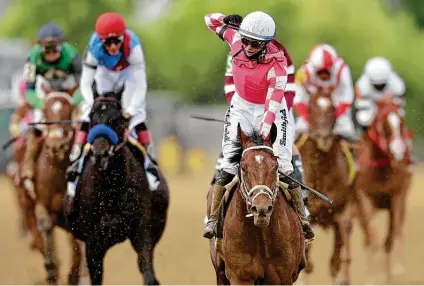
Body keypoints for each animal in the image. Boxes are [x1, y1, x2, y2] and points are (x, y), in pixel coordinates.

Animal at [65, 95, 168, 284]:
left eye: (116, 120)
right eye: (92, 119)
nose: (100, 154)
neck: (111, 187)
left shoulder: (142, 230)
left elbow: (148, 273)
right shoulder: (93, 243)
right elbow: (95, 276)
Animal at [206, 124, 304, 284]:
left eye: (276, 166)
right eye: (243, 167)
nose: (261, 208)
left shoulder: (283, 277)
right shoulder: (241, 277)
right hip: (220, 273)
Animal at [294, 91, 358, 284]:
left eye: (333, 109)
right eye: (312, 107)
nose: (323, 136)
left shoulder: (343, 209)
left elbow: (338, 256)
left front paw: (343, 277)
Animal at [352, 100, 412, 282]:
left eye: (401, 122)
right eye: (382, 124)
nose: (398, 150)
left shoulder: (397, 195)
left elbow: (393, 233)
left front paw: (397, 269)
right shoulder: (363, 196)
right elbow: (372, 235)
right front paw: (373, 276)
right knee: (367, 237)